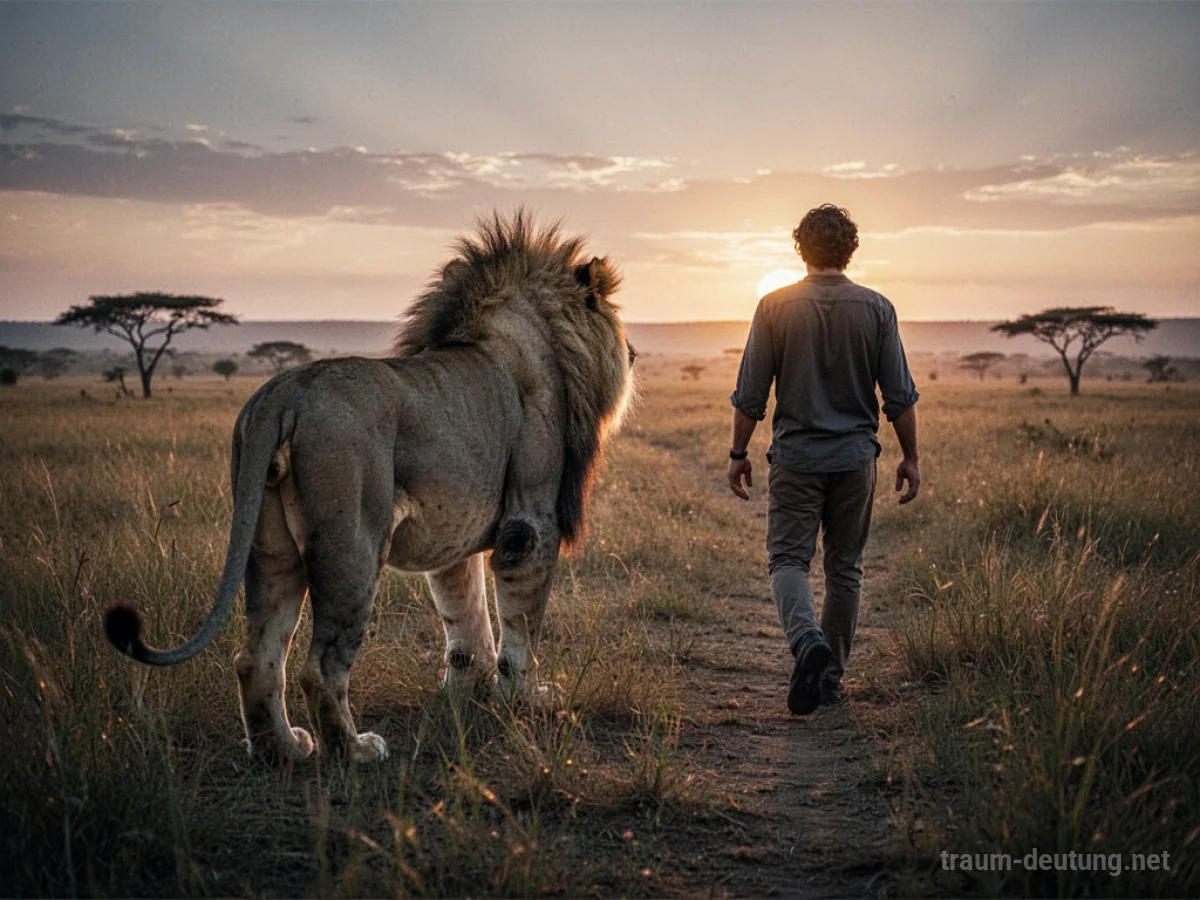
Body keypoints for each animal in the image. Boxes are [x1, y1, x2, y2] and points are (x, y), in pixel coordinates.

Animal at [104, 211, 636, 763]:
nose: (636, 354)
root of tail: (283, 394)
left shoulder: (452, 534)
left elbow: (465, 626)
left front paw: (467, 697)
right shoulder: (529, 522)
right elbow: (521, 626)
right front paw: (526, 700)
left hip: (270, 547)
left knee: (257, 657)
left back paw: (284, 749)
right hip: (353, 543)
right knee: (319, 669)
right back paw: (356, 750)